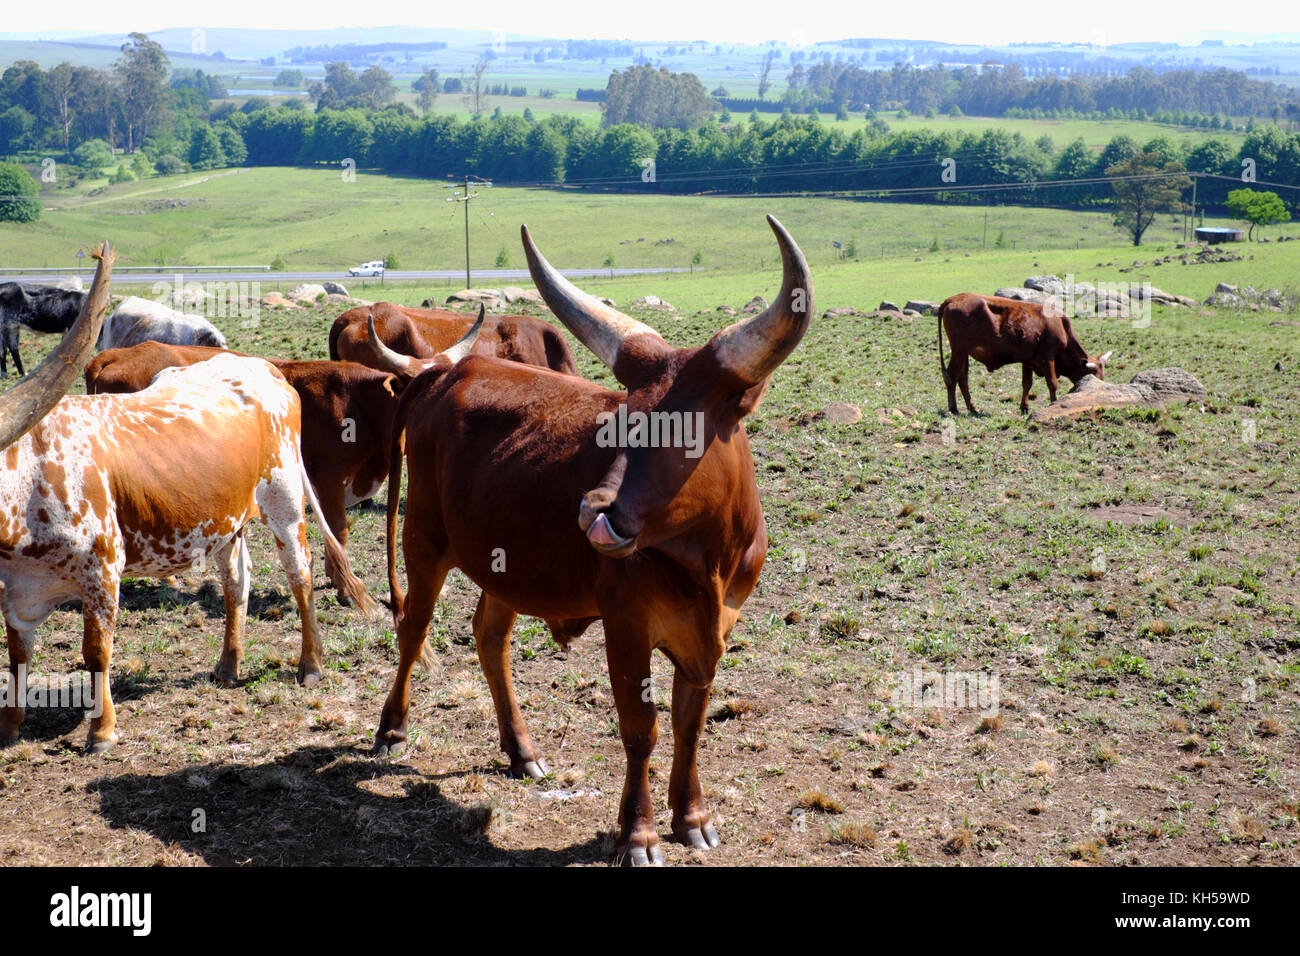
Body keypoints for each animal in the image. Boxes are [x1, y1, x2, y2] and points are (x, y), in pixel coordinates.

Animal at [1, 353, 377, 754]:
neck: (28, 476)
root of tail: (260, 365)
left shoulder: (101, 571)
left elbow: (96, 652)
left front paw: (101, 731)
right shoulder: (13, 591)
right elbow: (17, 655)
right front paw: (9, 725)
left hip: (284, 499)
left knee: (300, 574)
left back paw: (311, 664)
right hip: (227, 520)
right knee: (237, 583)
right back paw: (229, 664)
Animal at [83, 317, 486, 600]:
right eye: (413, 389)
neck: (358, 402)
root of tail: (114, 355)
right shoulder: (328, 479)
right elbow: (339, 529)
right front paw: (343, 585)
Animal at [377, 217, 811, 868]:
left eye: (686, 427)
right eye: (621, 416)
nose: (593, 511)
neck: (705, 560)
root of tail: (444, 372)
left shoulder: (713, 632)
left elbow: (689, 723)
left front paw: (693, 817)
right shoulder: (626, 624)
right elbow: (641, 727)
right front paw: (639, 834)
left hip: (504, 562)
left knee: (490, 636)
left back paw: (522, 751)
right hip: (423, 539)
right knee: (413, 627)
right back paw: (392, 728)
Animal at [941, 290, 1112, 413]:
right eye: (1092, 377)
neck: (1062, 327)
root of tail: (953, 299)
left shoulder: (1028, 361)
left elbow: (1027, 384)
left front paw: (1024, 407)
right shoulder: (1048, 358)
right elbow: (1052, 383)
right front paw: (1054, 403)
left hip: (964, 353)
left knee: (963, 378)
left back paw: (972, 407)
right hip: (959, 350)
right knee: (952, 376)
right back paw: (953, 408)